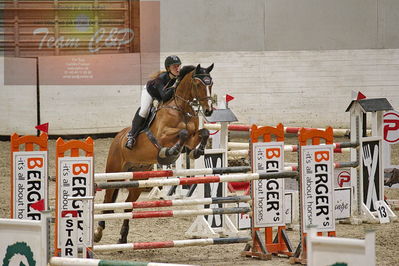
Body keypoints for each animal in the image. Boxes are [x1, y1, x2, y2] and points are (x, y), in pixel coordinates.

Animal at [94, 64, 216, 243]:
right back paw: (98, 232)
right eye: (198, 84)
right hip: (114, 172)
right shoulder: (163, 135)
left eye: (211, 83)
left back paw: (123, 237)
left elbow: (203, 132)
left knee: (128, 206)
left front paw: (197, 152)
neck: (181, 108)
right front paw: (170, 151)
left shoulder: (192, 138)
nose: (208, 111)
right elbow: (183, 132)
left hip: (139, 178)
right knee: (108, 200)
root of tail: (118, 137)